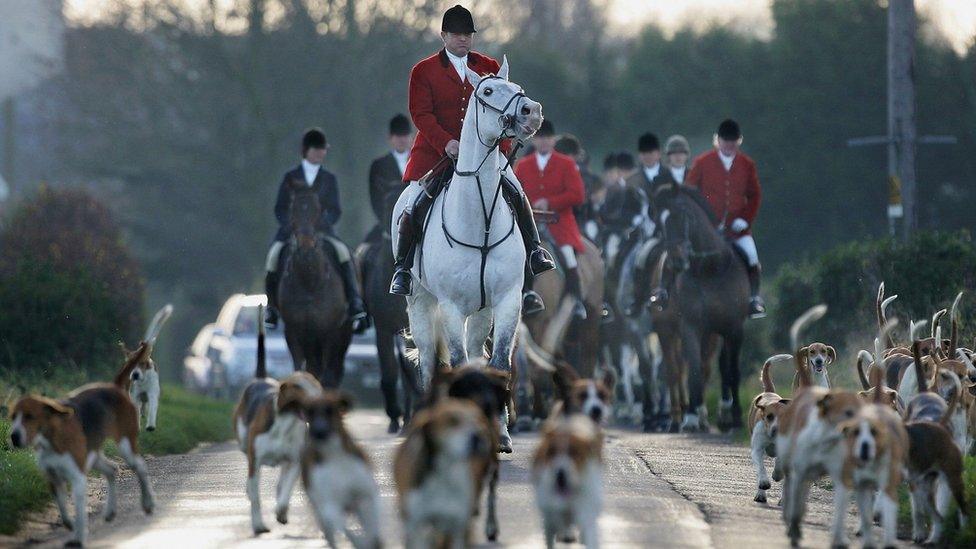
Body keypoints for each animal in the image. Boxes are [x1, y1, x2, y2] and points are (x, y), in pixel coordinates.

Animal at [276, 180, 352, 386]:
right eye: (293, 209)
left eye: (318, 209)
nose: (306, 246)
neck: (309, 281)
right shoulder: (293, 332)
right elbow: (299, 370)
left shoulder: (329, 333)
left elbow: (326, 377)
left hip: (342, 337)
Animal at [392, 56, 544, 450]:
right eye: (487, 91)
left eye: (516, 87)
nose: (532, 112)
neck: (481, 221)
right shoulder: (450, 306)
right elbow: (456, 366)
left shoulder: (506, 300)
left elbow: (500, 365)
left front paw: (502, 434)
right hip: (421, 305)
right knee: (430, 364)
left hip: (481, 311)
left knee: (478, 357)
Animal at [652, 185, 752, 432]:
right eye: (661, 222)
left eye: (683, 216)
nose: (676, 261)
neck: (710, 269)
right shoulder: (690, 327)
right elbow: (694, 371)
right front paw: (690, 417)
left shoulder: (734, 329)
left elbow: (732, 371)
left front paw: (736, 417)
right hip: (672, 330)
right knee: (679, 369)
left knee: (721, 368)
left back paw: (722, 415)